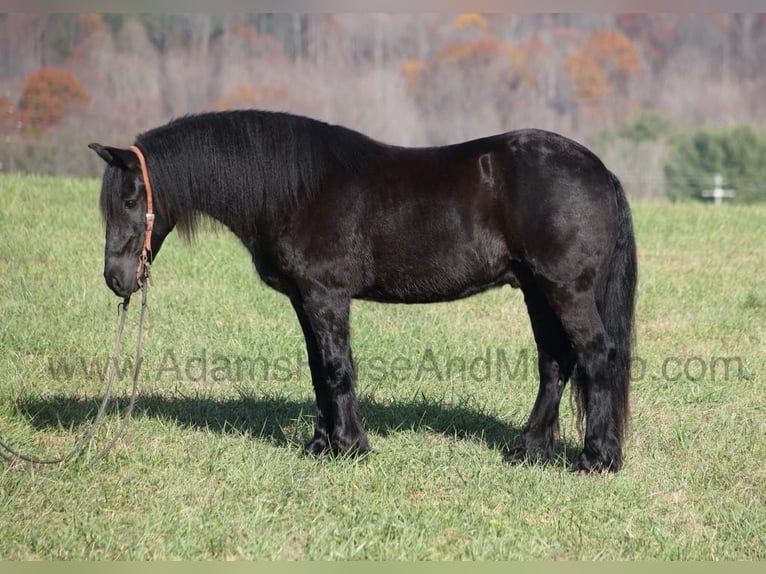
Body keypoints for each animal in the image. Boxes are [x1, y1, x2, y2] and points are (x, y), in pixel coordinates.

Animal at [90, 110, 640, 474]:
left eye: (131, 198)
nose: (116, 278)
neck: (296, 189)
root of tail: (600, 170)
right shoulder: (305, 299)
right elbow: (318, 369)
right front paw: (321, 445)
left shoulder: (326, 296)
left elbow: (338, 369)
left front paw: (351, 447)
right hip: (535, 290)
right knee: (555, 363)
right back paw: (528, 450)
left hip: (564, 289)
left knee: (595, 355)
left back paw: (596, 458)